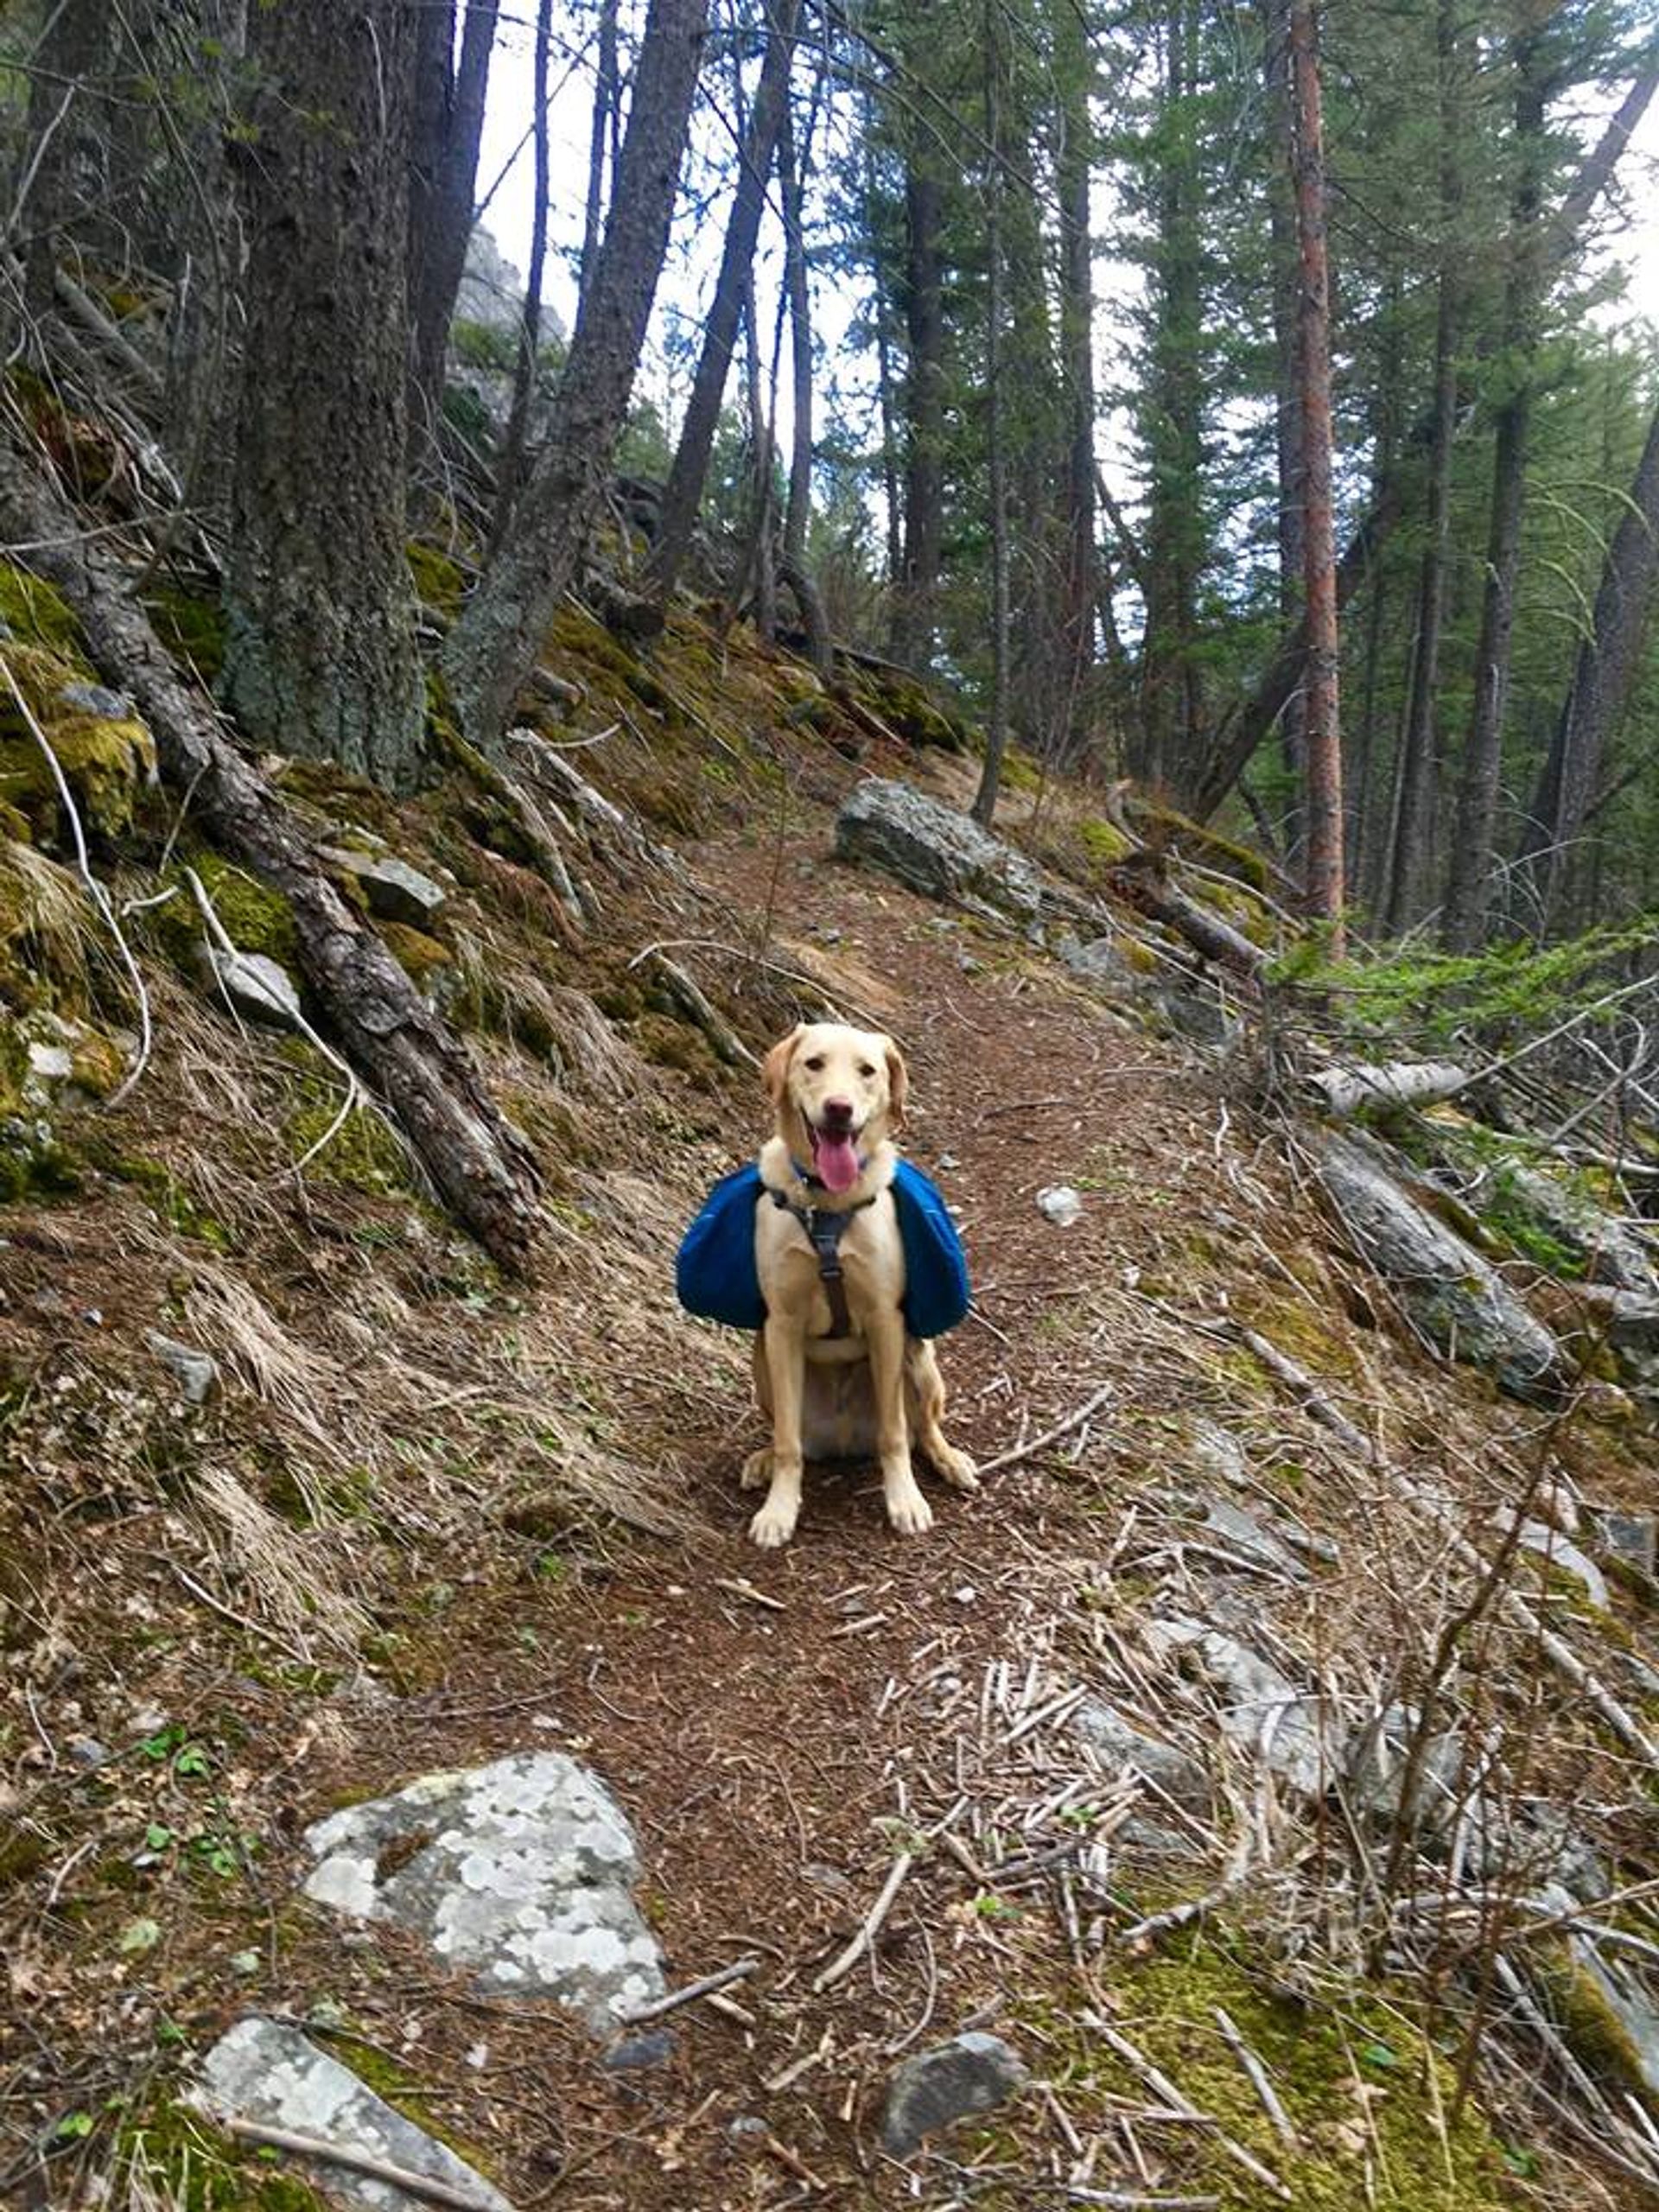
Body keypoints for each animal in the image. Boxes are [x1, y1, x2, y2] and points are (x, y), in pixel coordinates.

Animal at [747, 1026, 982, 1548]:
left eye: (867, 1071)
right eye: (813, 1063)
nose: (839, 1108)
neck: (827, 1204)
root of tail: (843, 1437)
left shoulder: (885, 1321)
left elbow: (894, 1435)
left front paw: (905, 1501)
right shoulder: (782, 1324)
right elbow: (788, 1441)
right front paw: (779, 1509)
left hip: (921, 1359)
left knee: (923, 1427)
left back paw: (949, 1459)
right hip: (762, 1361)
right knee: (784, 1433)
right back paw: (763, 1459)